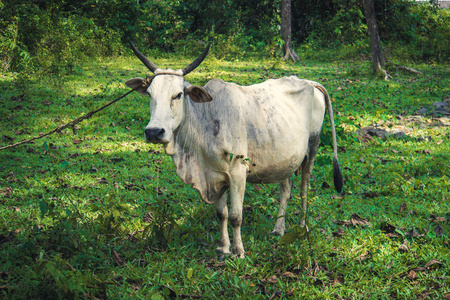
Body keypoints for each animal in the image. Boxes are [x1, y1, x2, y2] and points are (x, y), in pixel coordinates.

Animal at [125, 41, 342, 258]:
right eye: (150, 94)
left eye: (178, 95)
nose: (154, 132)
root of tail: (310, 82)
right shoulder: (214, 176)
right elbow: (222, 214)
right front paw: (223, 248)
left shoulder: (238, 173)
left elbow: (236, 216)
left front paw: (238, 251)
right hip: (285, 159)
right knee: (286, 189)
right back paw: (279, 228)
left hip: (312, 148)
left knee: (304, 189)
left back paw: (302, 227)